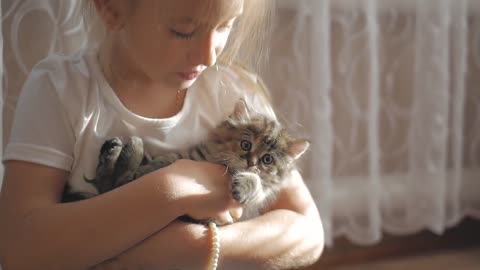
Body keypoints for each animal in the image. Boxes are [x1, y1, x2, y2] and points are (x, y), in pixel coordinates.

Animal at [62, 100, 310, 223]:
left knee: (113, 184)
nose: (251, 162)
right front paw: (151, 166)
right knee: (111, 184)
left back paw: (123, 151)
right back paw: (124, 151)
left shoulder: (259, 197)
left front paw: (243, 185)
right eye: (246, 145)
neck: (223, 165)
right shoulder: (189, 156)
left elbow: (256, 184)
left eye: (267, 159)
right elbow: (170, 158)